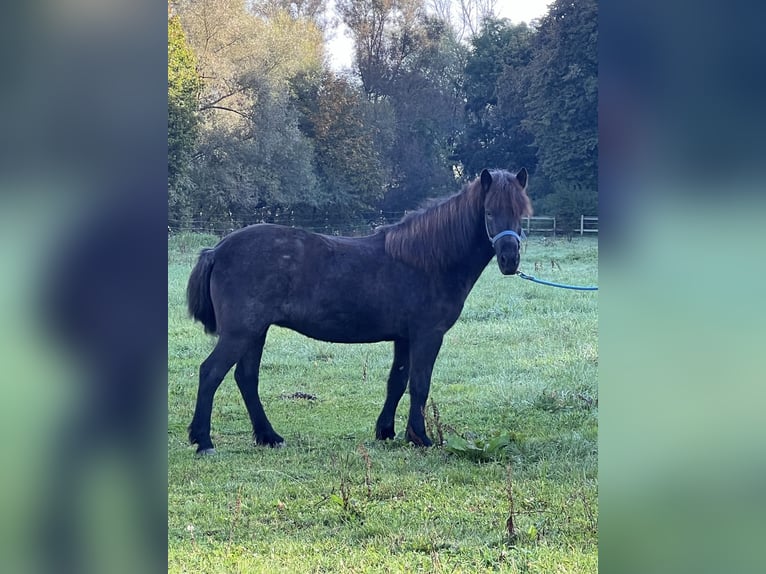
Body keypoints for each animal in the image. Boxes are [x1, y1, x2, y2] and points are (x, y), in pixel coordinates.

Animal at [187, 166, 536, 454]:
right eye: (489, 212)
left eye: (521, 214)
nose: (510, 260)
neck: (428, 260)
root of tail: (217, 249)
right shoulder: (427, 335)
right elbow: (419, 384)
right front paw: (420, 437)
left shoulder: (404, 338)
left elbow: (397, 381)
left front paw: (387, 431)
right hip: (240, 333)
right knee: (211, 373)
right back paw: (203, 441)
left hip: (255, 333)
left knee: (246, 378)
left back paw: (268, 436)